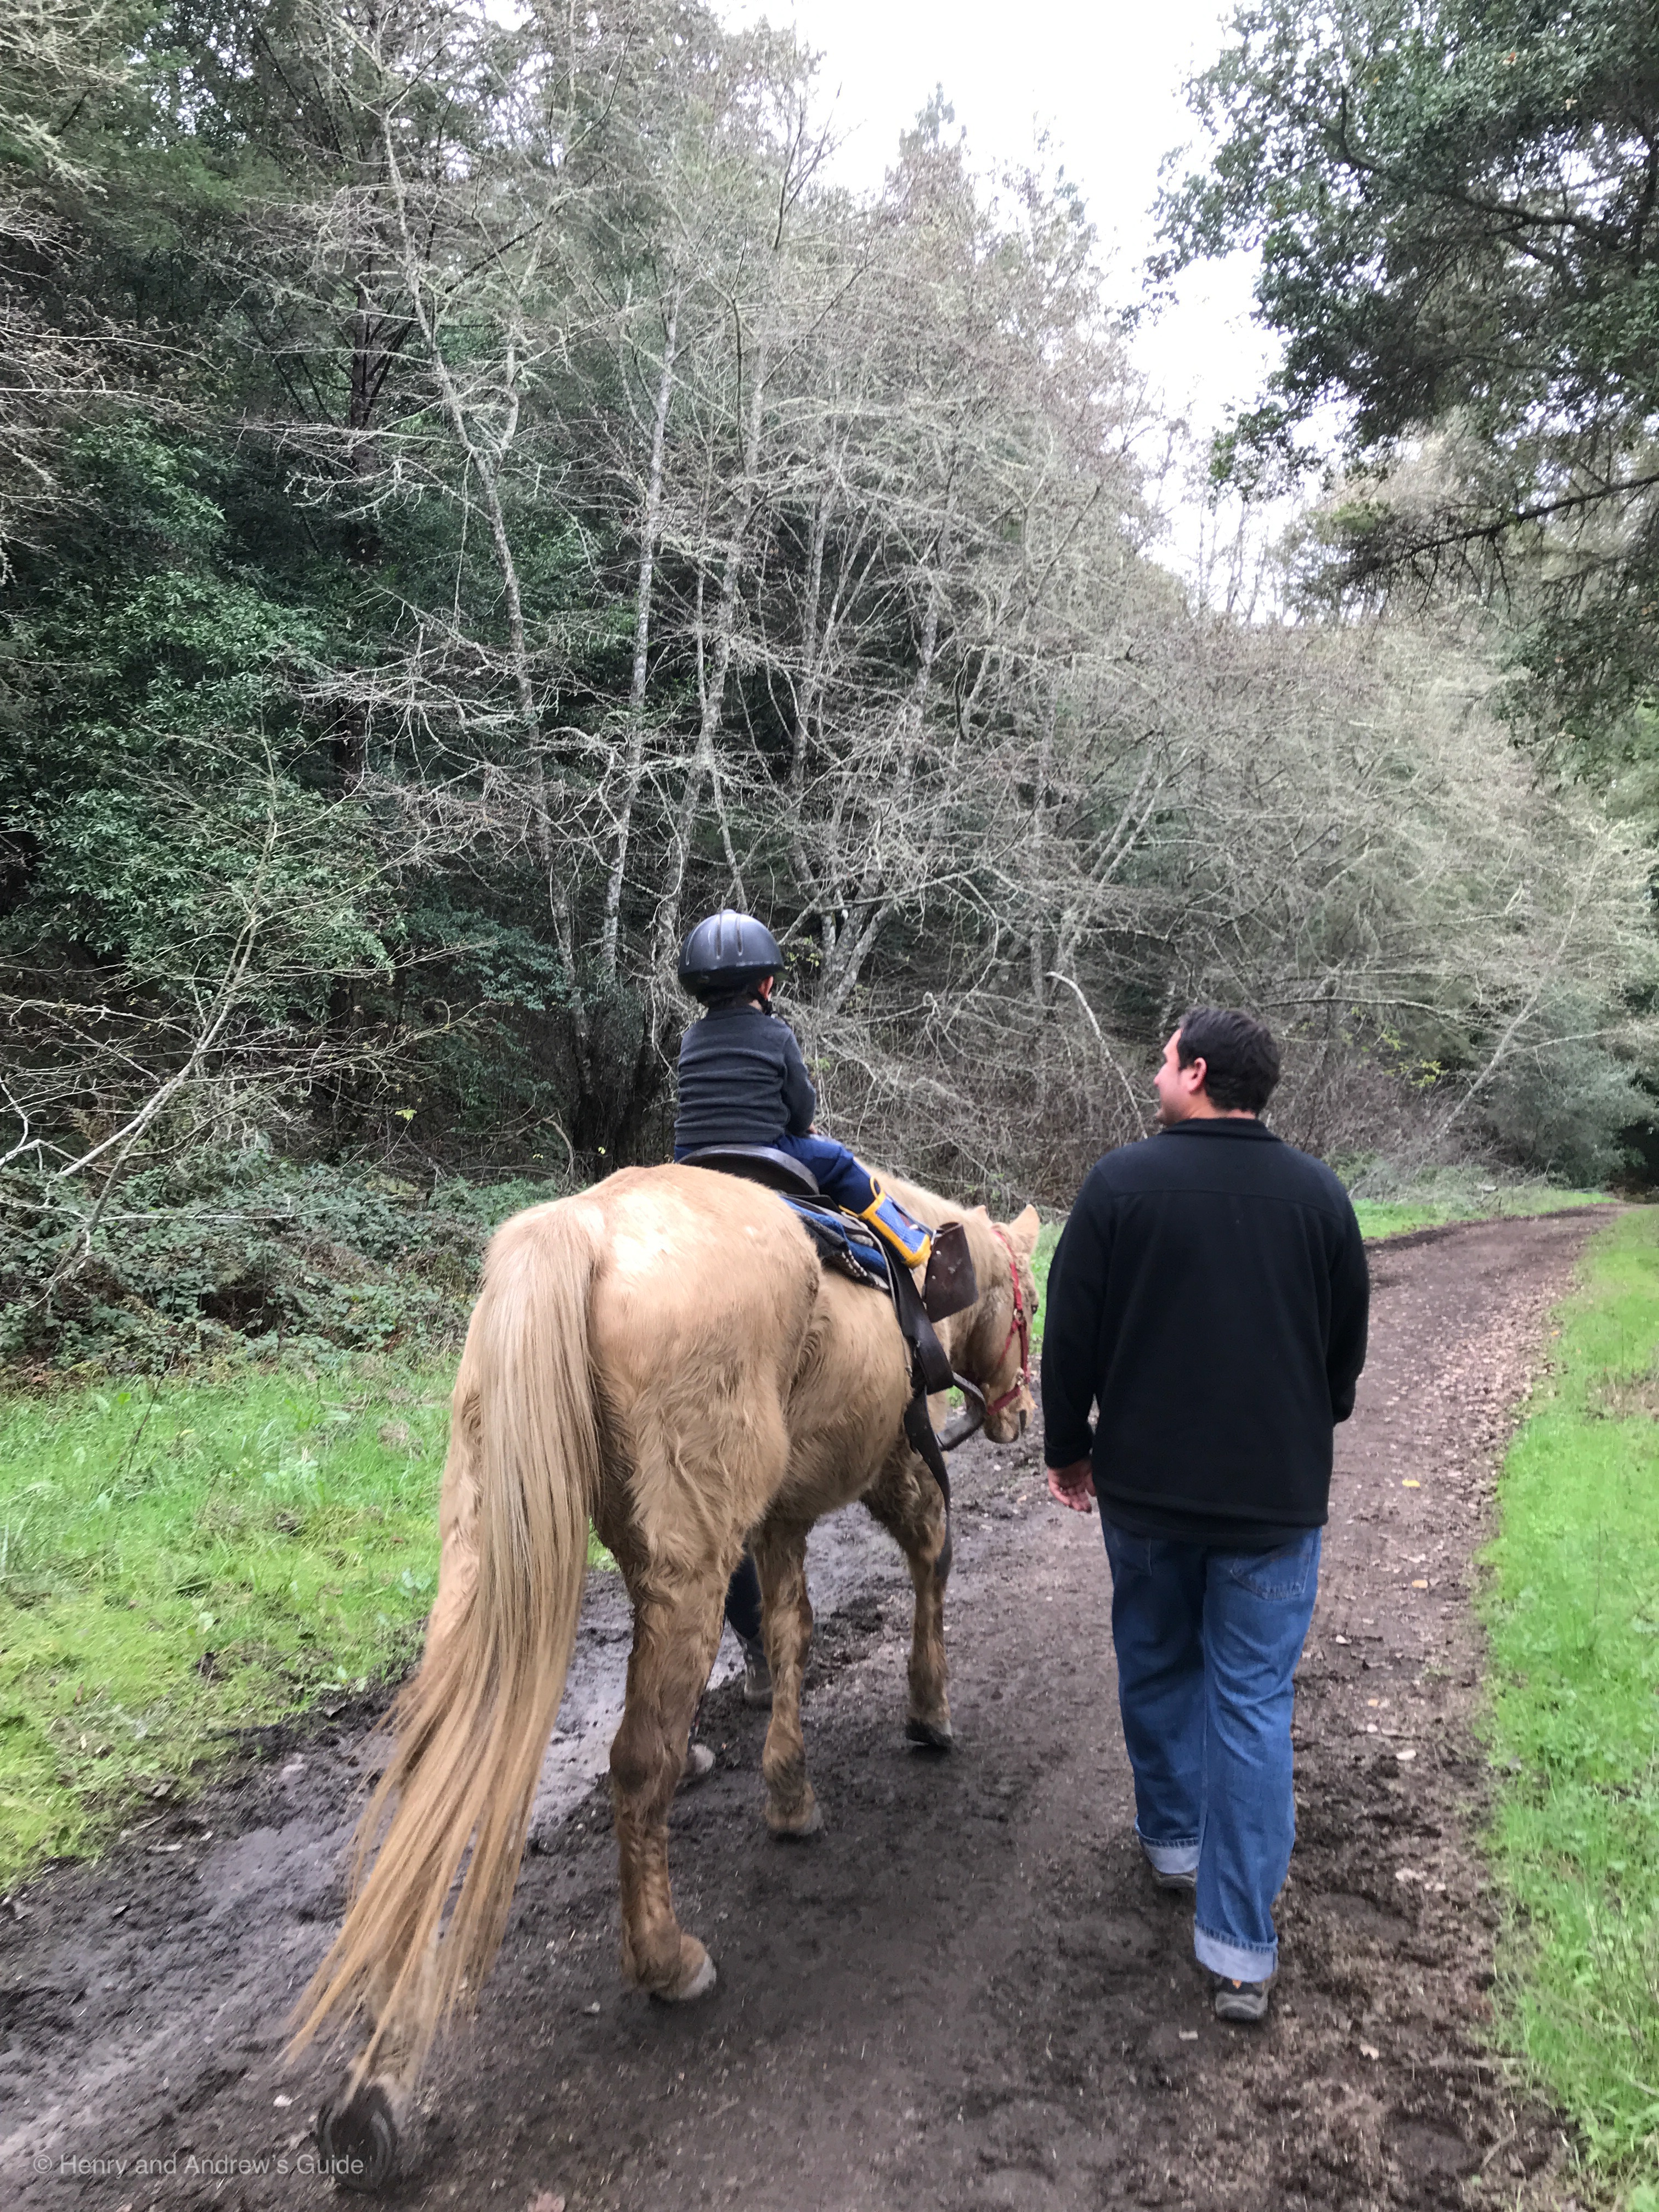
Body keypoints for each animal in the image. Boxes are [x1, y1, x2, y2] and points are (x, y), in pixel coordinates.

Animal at [290, 1159, 1040, 2176]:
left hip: (482, 1546)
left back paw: (380, 2070)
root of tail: (574, 1233)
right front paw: (927, 1712)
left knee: (435, 1769)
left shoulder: (779, 1516)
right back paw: (665, 1958)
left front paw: (789, 1790)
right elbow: (930, 1556)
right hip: (686, 1560)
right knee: (637, 1761)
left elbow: (791, 1628)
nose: (1018, 1415)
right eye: (1028, 1301)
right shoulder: (892, 1457)